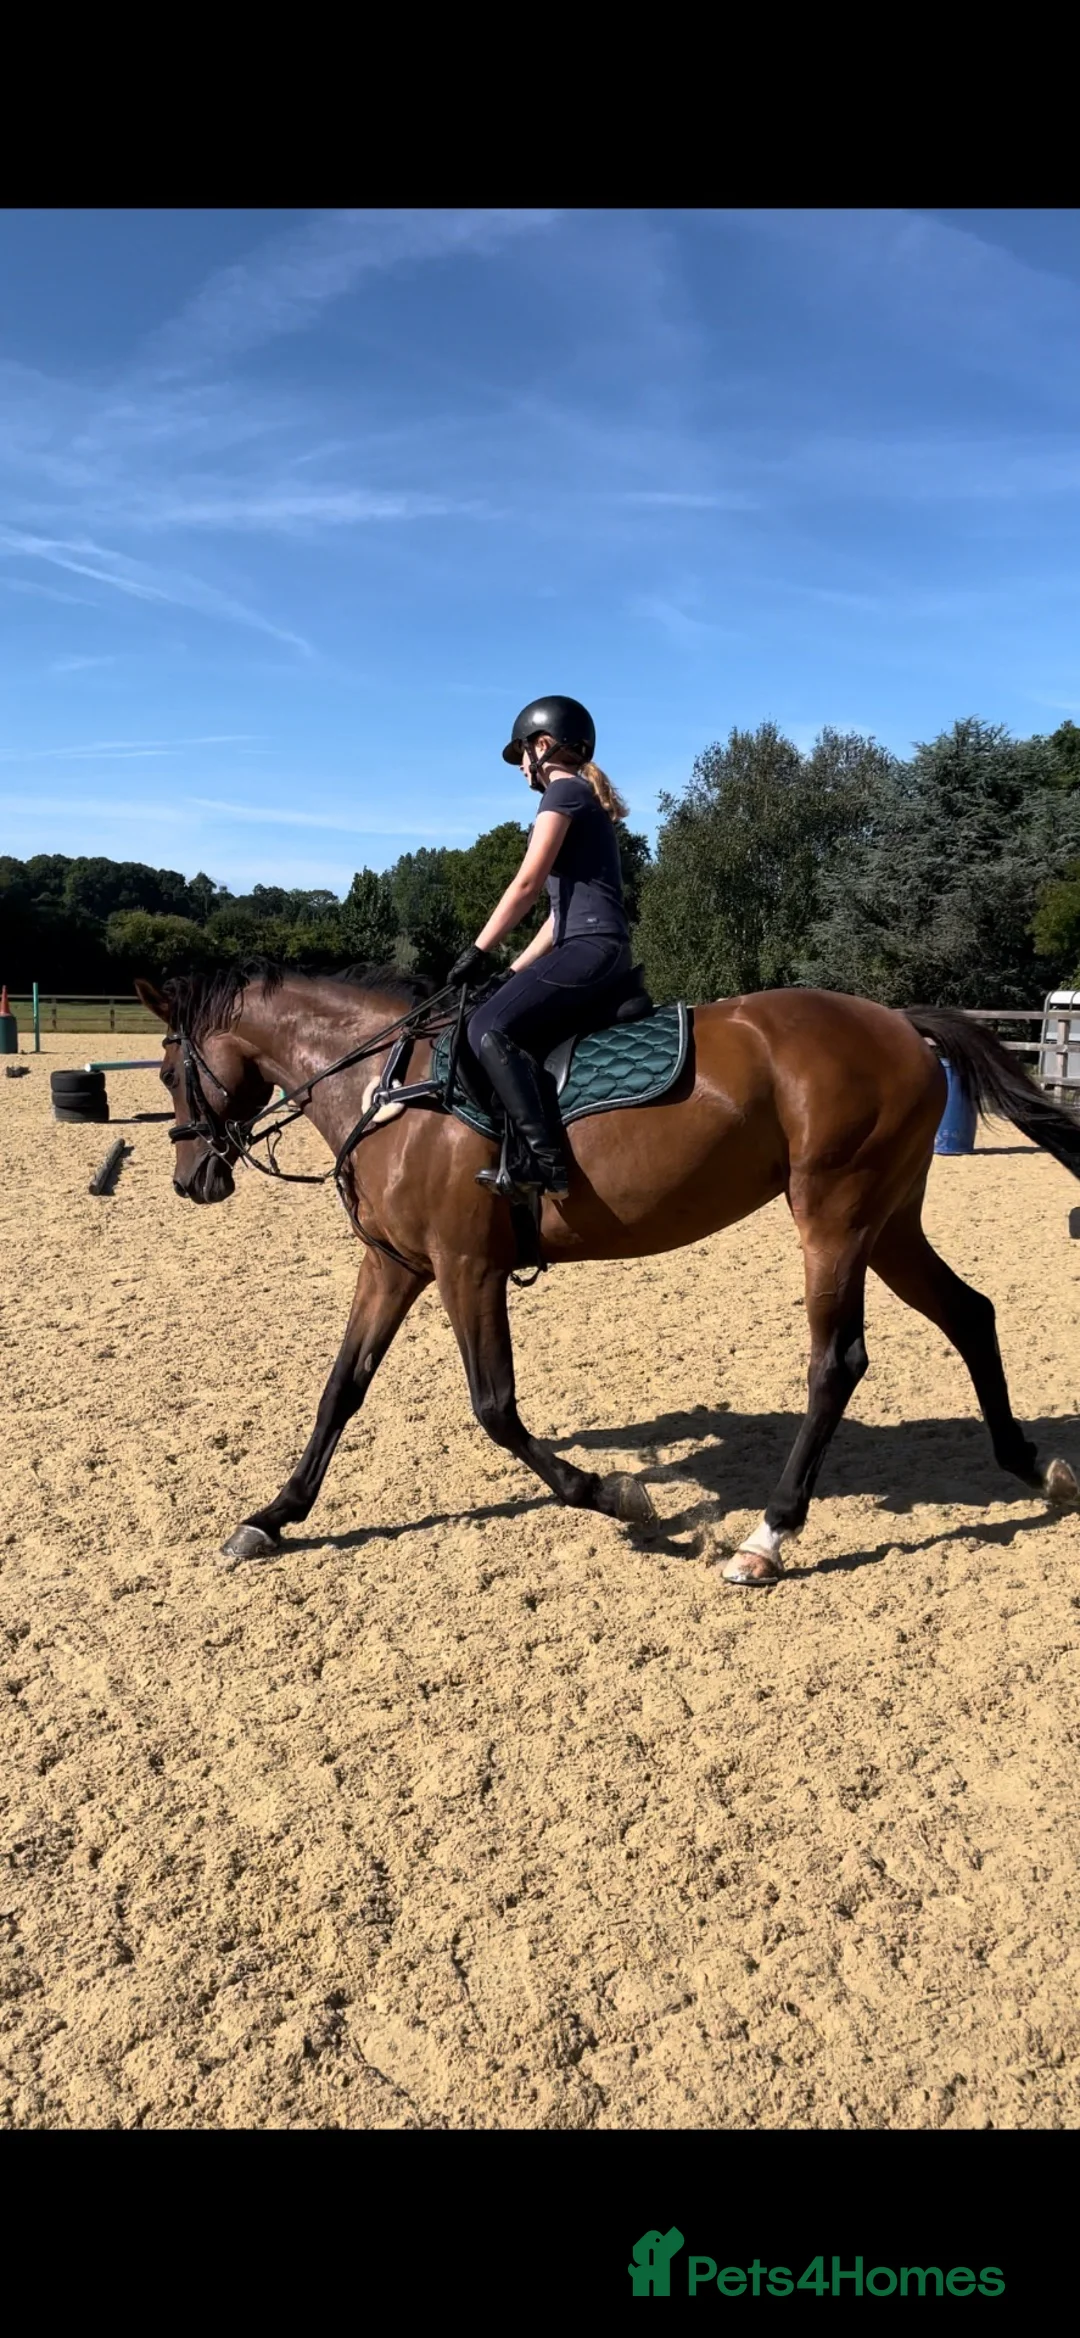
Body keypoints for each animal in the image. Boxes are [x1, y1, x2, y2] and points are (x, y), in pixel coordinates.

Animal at [134, 966, 1080, 1583]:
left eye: (169, 1069)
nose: (189, 1180)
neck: (392, 1090)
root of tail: (897, 1024)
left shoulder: (467, 1267)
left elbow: (495, 1409)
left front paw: (616, 1494)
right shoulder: (394, 1266)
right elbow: (341, 1392)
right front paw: (273, 1517)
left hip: (835, 1220)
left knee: (837, 1361)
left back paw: (767, 1536)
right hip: (889, 1225)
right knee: (971, 1314)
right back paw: (1033, 1466)